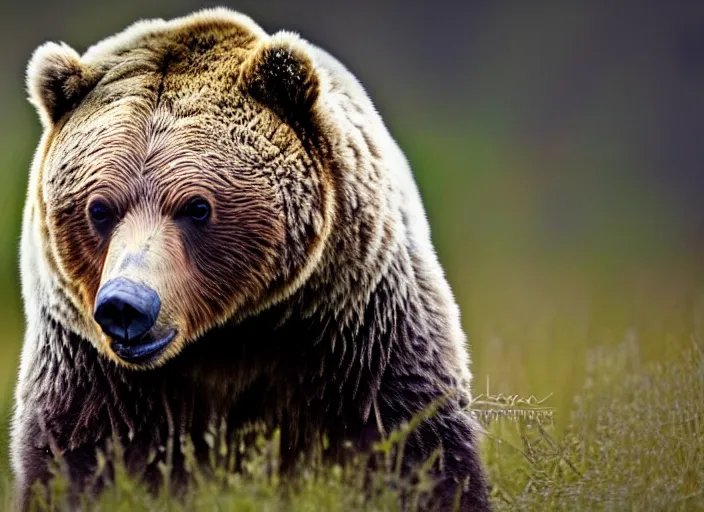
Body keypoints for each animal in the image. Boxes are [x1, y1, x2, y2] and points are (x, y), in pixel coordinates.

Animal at [11, 6, 490, 510]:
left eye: (197, 207)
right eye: (99, 208)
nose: (126, 305)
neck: (231, 333)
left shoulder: (361, 333)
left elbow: (417, 449)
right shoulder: (88, 367)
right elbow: (75, 459)